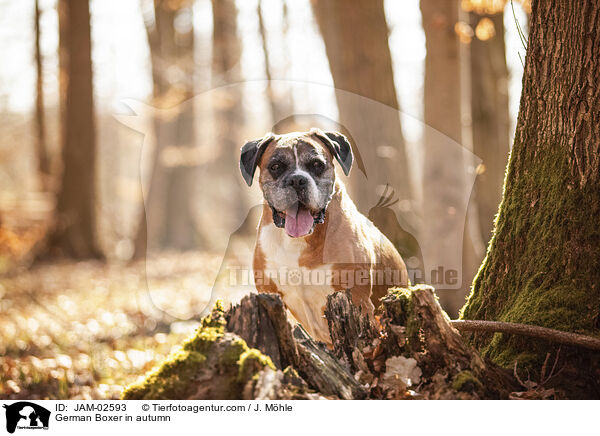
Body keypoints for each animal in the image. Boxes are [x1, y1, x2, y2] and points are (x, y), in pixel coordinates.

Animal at [239, 127, 408, 342]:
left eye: (317, 164)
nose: (297, 179)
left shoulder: (357, 298)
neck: (298, 242)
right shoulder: (269, 296)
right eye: (276, 166)